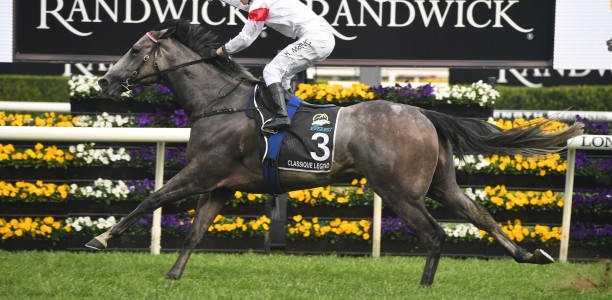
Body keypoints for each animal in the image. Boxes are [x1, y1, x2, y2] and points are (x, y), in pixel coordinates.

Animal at [91, 18, 584, 286]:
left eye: (134, 49)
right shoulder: (221, 184)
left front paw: (100, 239)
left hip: (398, 190)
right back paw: (528, 255)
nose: (105, 81)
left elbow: (151, 199)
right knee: (478, 215)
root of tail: (423, 115)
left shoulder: (201, 171)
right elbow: (195, 232)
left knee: (434, 235)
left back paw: (424, 285)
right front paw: (173, 275)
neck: (220, 101)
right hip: (441, 184)